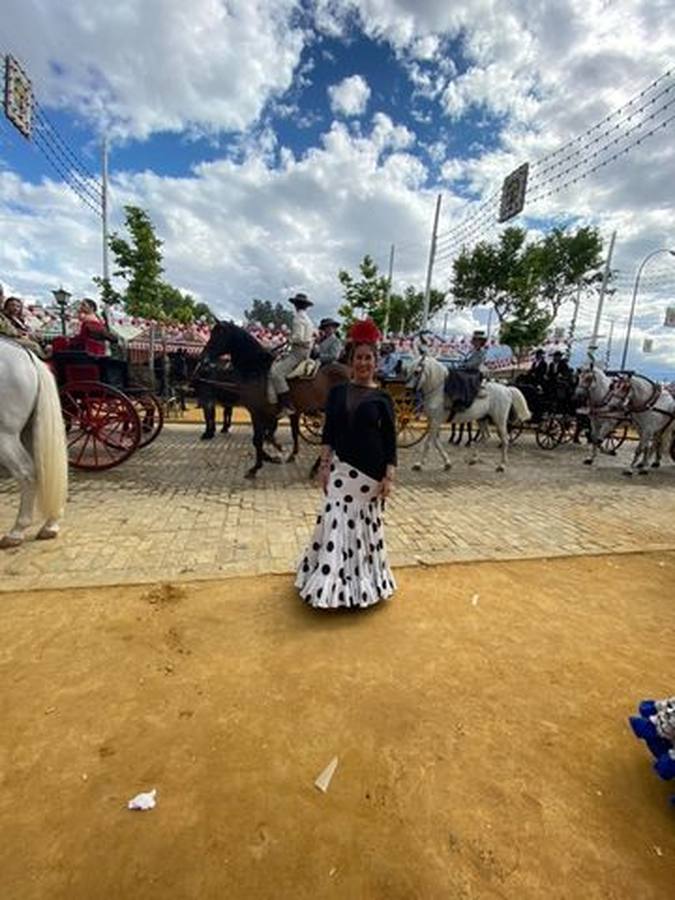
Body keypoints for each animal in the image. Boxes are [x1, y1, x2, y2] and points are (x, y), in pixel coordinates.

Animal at [0, 340, 68, 544]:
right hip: (30, 430)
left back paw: (17, 531)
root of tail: (26, 354)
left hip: (6, 435)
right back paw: (50, 524)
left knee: (26, 473)